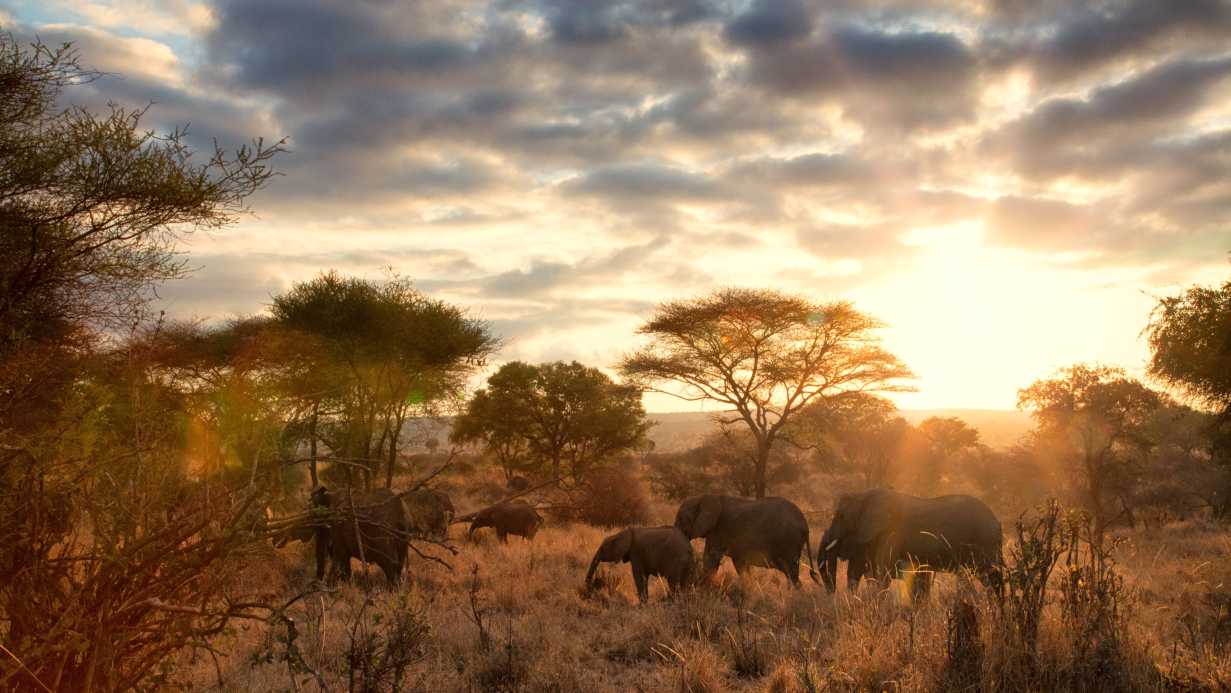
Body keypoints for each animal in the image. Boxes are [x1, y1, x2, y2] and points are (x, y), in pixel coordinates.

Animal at [674, 497, 817, 588]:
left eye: (681, 519)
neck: (703, 498)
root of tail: (805, 524)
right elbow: (740, 564)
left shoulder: (718, 530)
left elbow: (711, 558)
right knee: (791, 573)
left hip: (788, 542)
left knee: (790, 572)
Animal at [817, 487, 999, 595]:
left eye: (841, 516)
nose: (831, 592)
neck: (865, 495)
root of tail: (996, 520)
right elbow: (859, 572)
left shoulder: (891, 535)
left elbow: (882, 576)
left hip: (985, 542)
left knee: (992, 578)